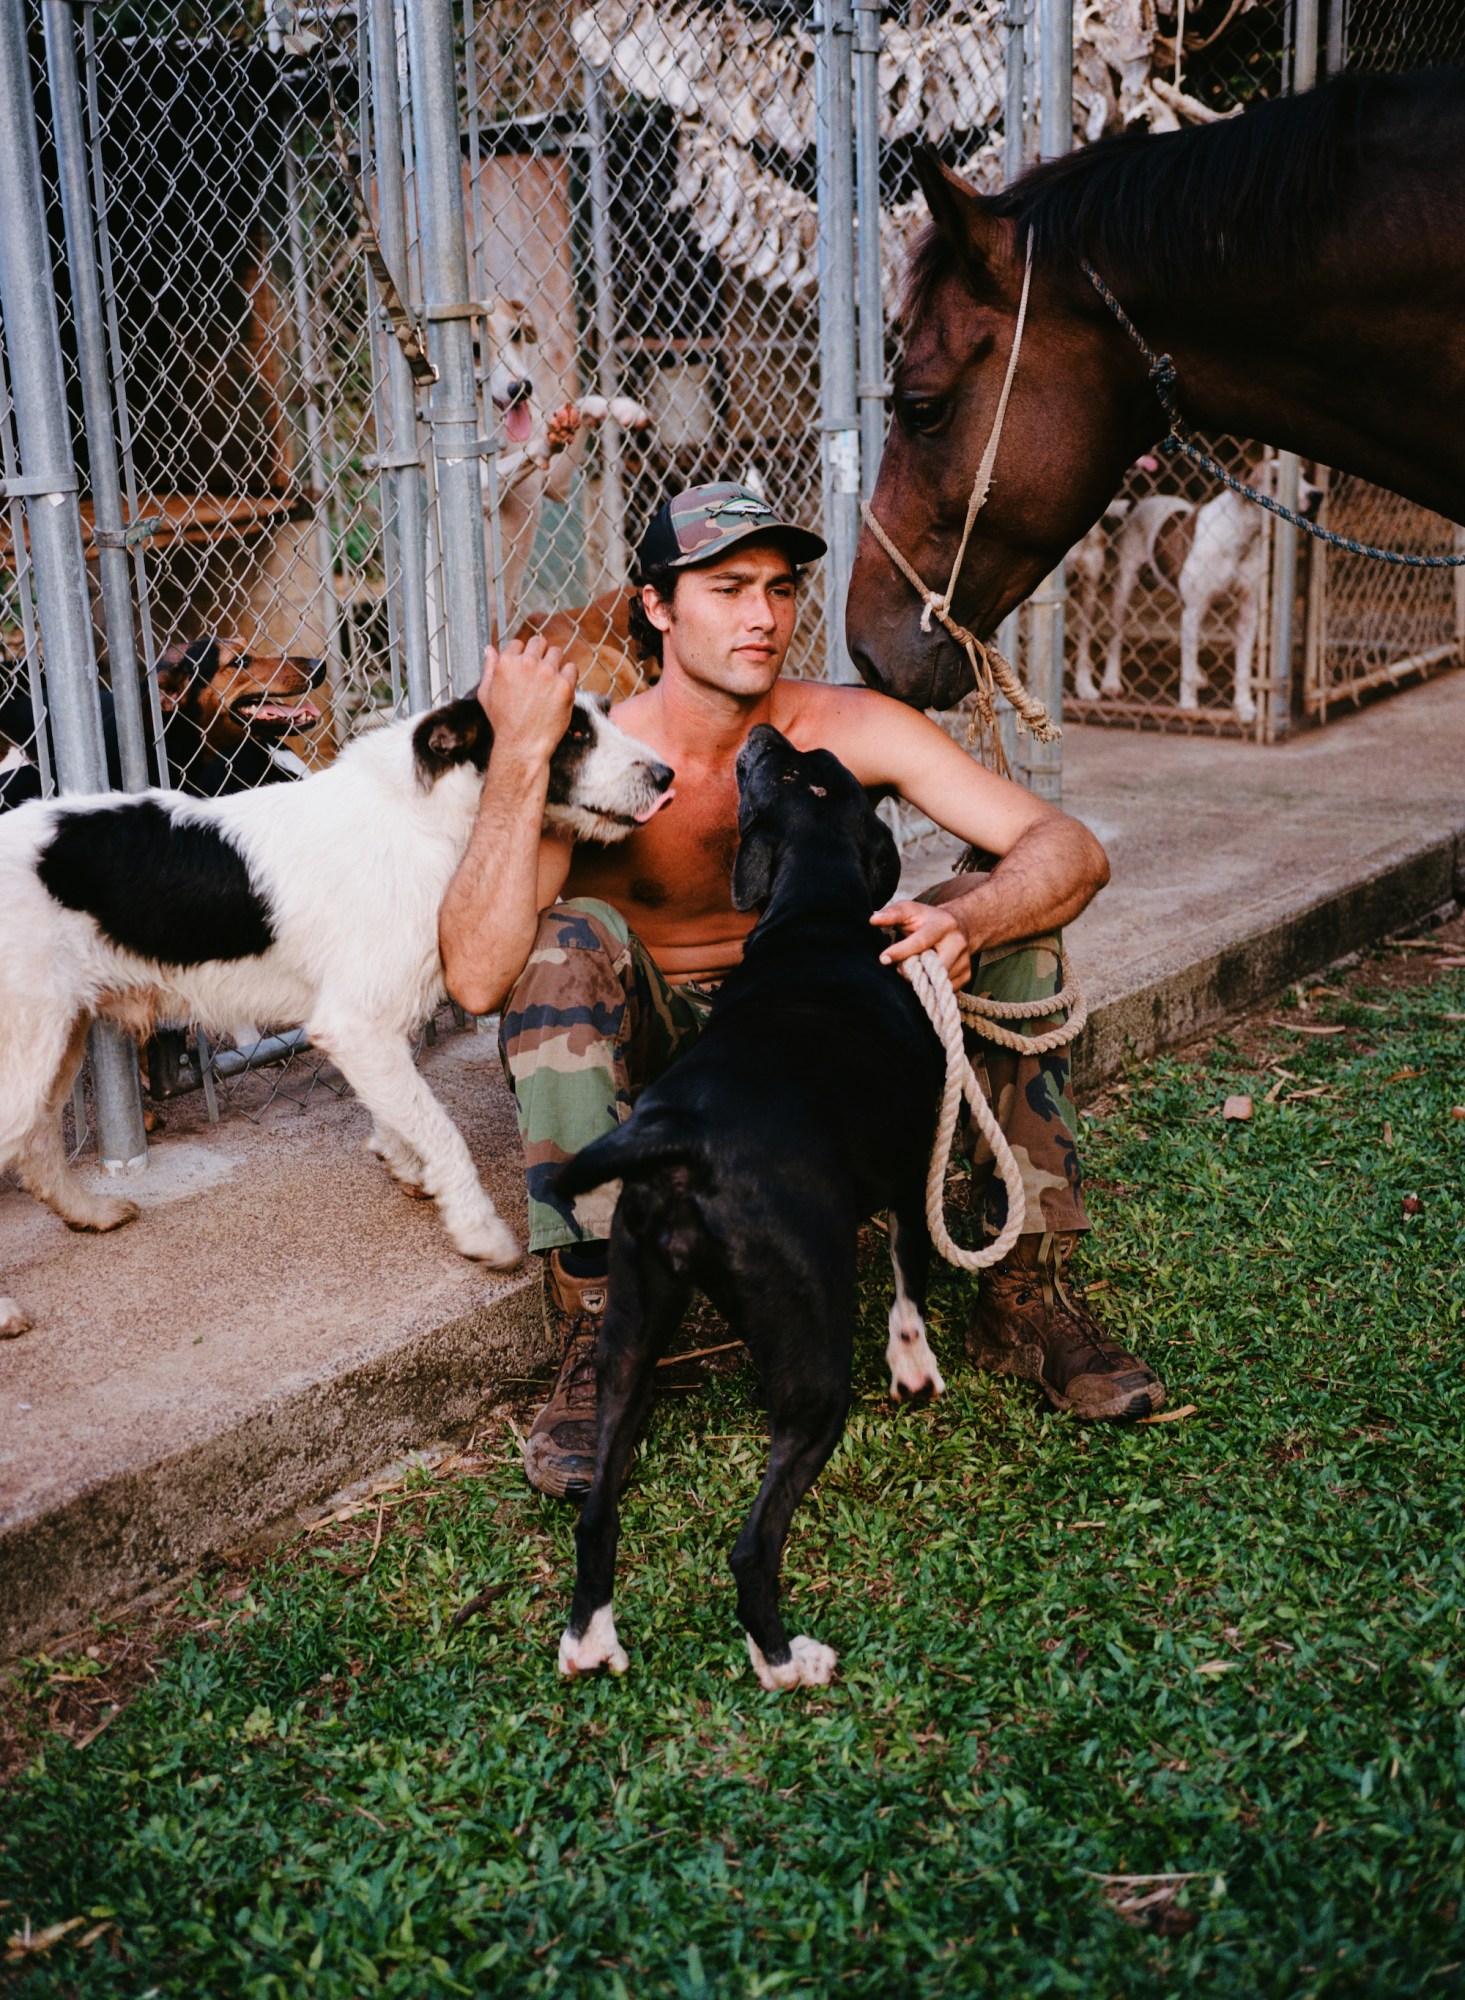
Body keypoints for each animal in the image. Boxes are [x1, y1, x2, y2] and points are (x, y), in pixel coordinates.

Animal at [0, 692, 676, 1344]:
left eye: (602, 716)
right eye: (573, 732)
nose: (667, 775)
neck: (429, 813)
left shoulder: (374, 1027)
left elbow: (402, 1108)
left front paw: (402, 1159)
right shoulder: (355, 1024)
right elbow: (441, 1128)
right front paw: (477, 1228)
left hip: (58, 1039)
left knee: (37, 1143)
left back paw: (88, 1213)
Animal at [552, 720, 948, 1688]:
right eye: (809, 769)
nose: (770, 731)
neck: (816, 918)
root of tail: (681, 1139)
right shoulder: (909, 1167)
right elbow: (908, 1281)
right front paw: (914, 1369)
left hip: (629, 1332)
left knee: (597, 1511)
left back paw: (591, 1641)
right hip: (811, 1365)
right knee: (752, 1545)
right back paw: (782, 1660)